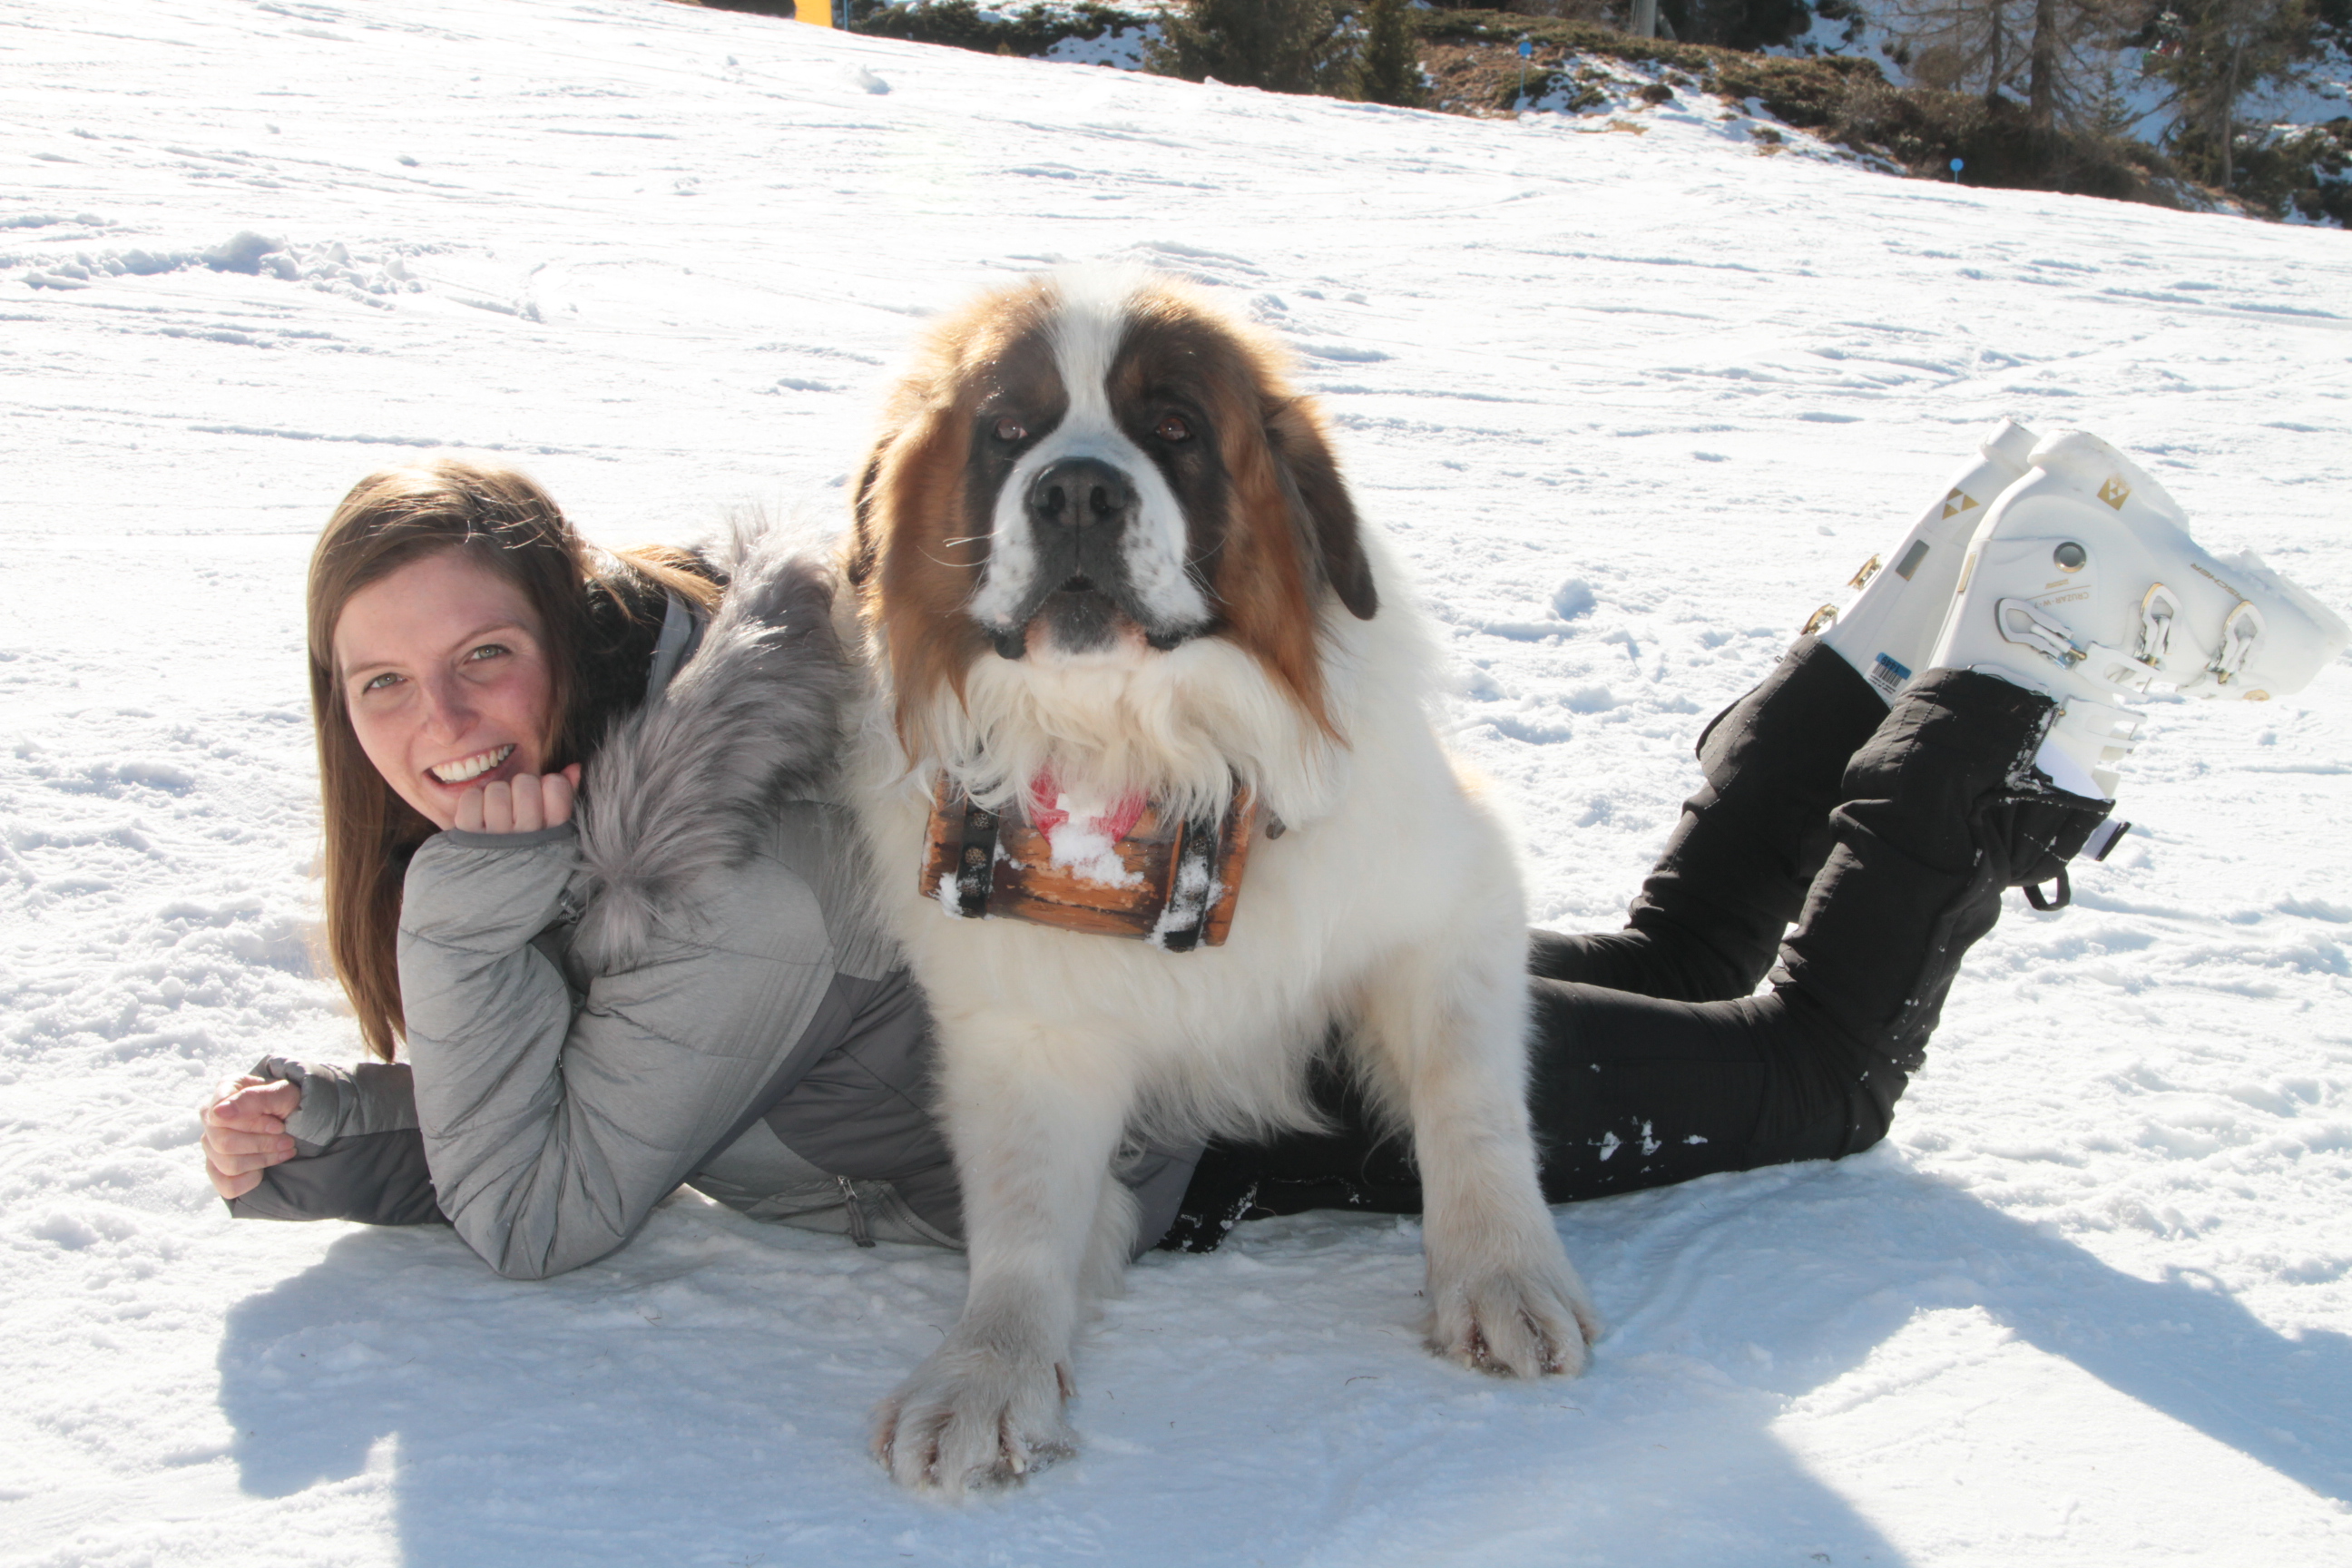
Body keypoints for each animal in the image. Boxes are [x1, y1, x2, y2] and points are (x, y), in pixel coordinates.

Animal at [841, 270, 1599, 1494]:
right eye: (1008, 431)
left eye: (1175, 429)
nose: (1077, 492)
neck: (1147, 754)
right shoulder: (1030, 1029)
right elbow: (1020, 1212)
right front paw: (989, 1372)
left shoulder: (1453, 901)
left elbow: (1470, 1102)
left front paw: (1501, 1277)